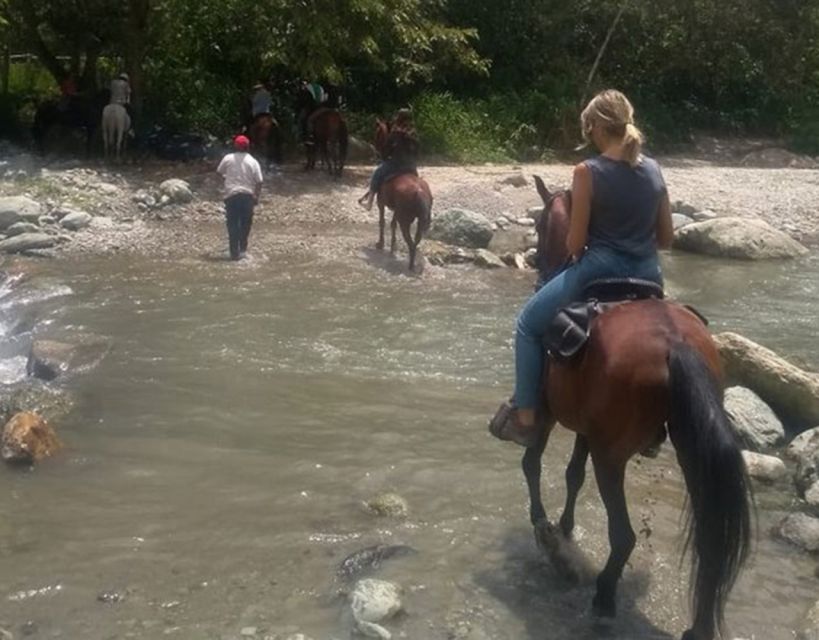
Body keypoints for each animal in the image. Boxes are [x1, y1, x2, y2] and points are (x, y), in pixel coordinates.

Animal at [524, 175, 752, 640]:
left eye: (538, 224)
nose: (539, 269)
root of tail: (675, 344)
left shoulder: (551, 413)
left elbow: (534, 463)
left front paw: (545, 526)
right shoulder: (586, 429)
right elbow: (572, 474)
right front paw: (567, 527)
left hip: (612, 456)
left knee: (624, 535)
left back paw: (604, 598)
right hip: (689, 450)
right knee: (709, 539)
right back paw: (698, 627)